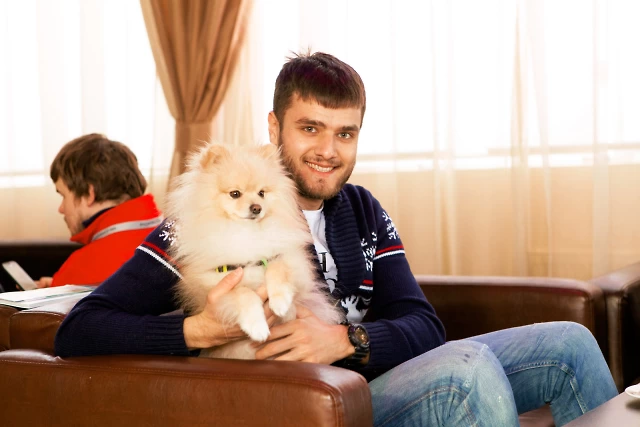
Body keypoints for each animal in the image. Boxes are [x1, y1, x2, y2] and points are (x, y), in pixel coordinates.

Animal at [165, 142, 344, 359]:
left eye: (262, 193)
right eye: (235, 194)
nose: (257, 207)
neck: (247, 234)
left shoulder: (294, 267)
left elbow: (277, 267)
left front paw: (280, 302)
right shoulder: (212, 286)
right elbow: (242, 293)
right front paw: (256, 326)